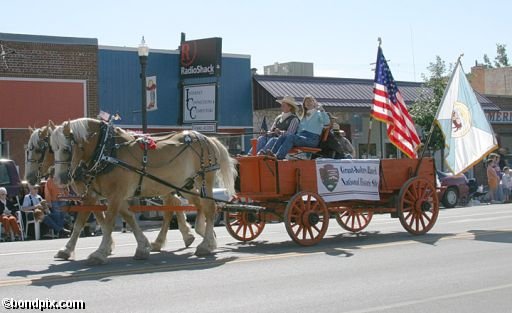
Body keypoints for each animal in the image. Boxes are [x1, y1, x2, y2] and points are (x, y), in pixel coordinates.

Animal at [50, 117, 238, 264]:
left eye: (66, 149)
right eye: (52, 149)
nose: (60, 179)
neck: (107, 149)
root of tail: (207, 138)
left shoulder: (115, 194)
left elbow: (109, 221)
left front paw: (100, 252)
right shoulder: (97, 194)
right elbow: (83, 221)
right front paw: (67, 250)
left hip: (203, 179)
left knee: (210, 208)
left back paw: (205, 244)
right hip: (186, 185)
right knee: (196, 206)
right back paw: (201, 235)